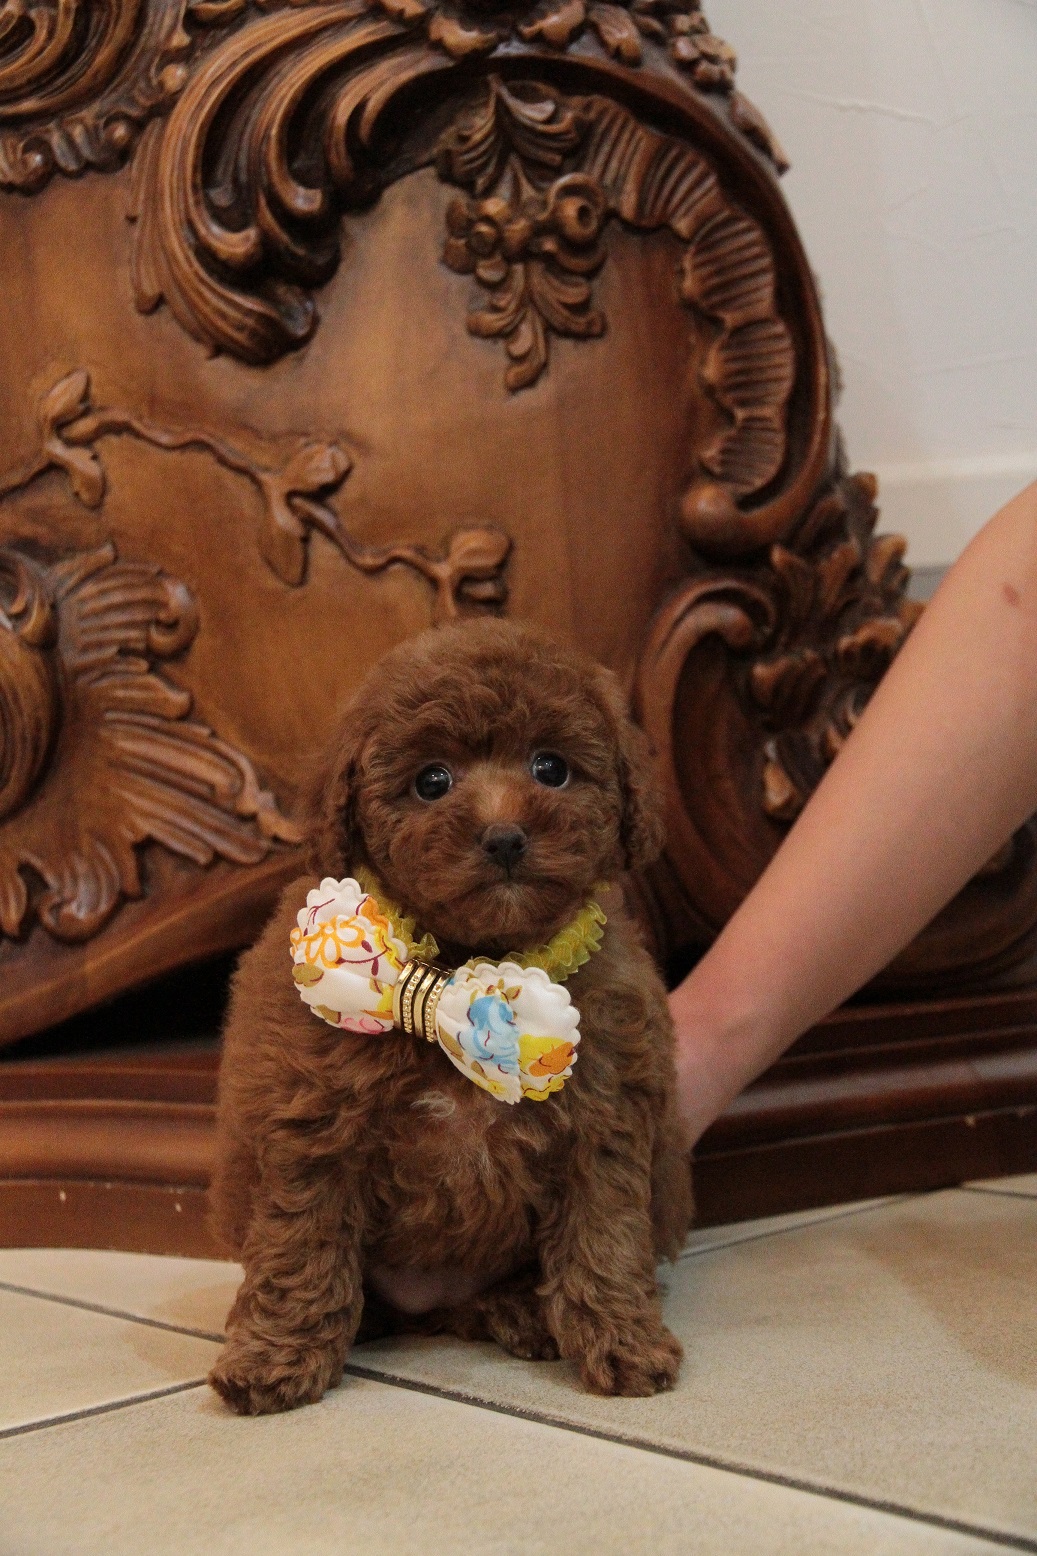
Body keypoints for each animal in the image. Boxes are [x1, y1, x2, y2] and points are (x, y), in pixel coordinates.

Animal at [209, 618, 693, 1415]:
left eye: (551, 768)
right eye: (431, 781)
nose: (504, 837)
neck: (466, 968)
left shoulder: (604, 1120)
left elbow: (604, 1237)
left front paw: (624, 1342)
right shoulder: (309, 1125)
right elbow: (300, 1246)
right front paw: (275, 1357)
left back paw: (525, 1313)